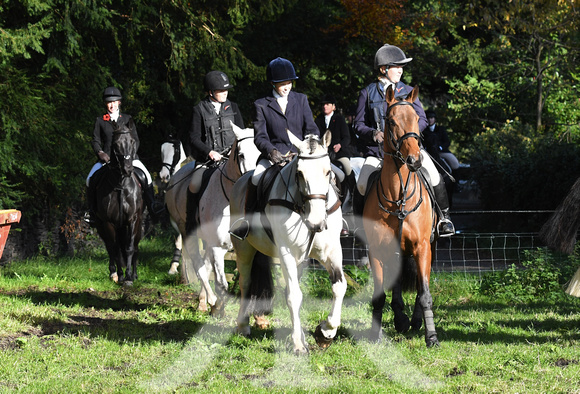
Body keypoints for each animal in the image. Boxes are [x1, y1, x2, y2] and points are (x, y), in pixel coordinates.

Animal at [94, 119, 143, 286]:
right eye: (116, 144)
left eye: (132, 141)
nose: (128, 170)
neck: (121, 185)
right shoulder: (108, 222)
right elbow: (114, 249)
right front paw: (121, 275)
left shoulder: (133, 220)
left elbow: (129, 248)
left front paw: (129, 277)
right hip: (101, 225)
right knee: (110, 247)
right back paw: (113, 273)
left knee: (134, 246)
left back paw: (134, 274)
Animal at [163, 123, 266, 314]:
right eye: (241, 154)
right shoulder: (219, 247)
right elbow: (221, 284)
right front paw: (219, 309)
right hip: (188, 232)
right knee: (199, 267)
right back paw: (209, 300)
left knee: (205, 265)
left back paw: (203, 301)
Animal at [230, 129, 348, 354]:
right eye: (299, 173)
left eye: (328, 172)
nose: (316, 222)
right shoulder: (286, 252)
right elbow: (294, 295)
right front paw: (298, 345)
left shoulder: (331, 252)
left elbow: (339, 287)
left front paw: (325, 333)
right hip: (244, 248)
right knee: (246, 283)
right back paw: (242, 325)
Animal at [362, 86, 440, 348]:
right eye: (392, 121)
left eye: (416, 118)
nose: (415, 160)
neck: (398, 197)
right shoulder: (376, 250)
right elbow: (379, 296)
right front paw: (375, 335)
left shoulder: (422, 246)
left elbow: (424, 293)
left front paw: (431, 337)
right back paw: (400, 318)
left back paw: (414, 321)